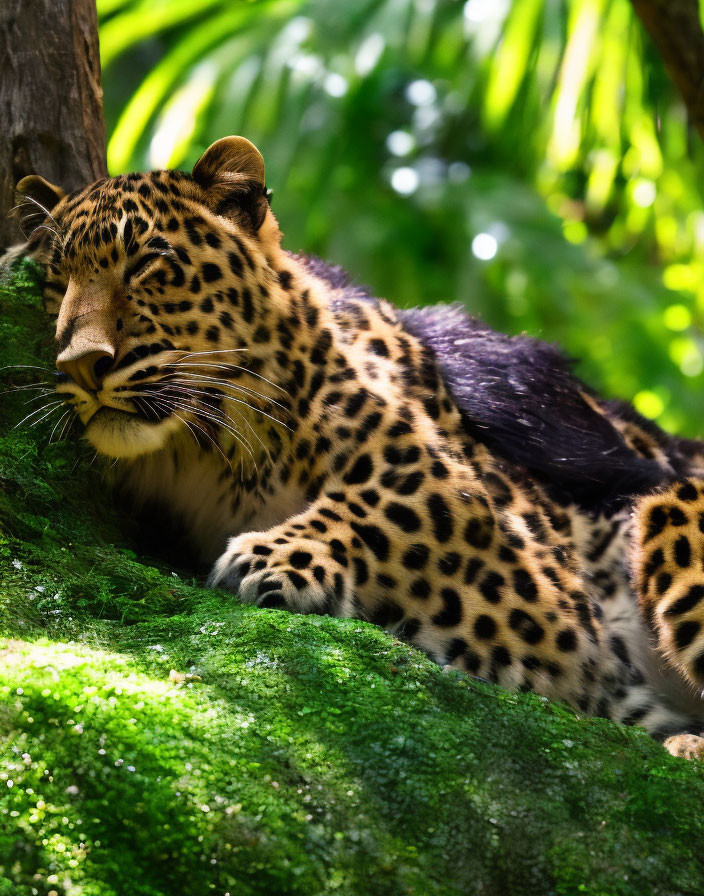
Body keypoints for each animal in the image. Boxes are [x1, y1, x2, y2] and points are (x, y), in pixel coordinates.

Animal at [11, 135, 704, 764]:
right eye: (56, 280)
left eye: (146, 265)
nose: (81, 365)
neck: (202, 453)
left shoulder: (504, 532)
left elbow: (390, 507)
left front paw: (270, 557)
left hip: (669, 511)